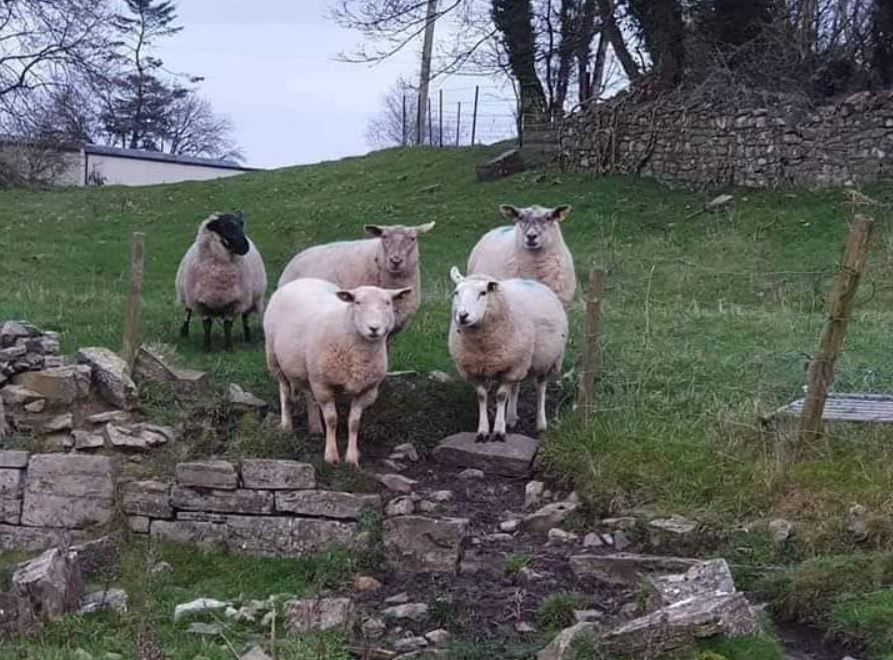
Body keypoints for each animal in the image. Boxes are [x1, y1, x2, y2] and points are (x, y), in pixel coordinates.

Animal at [175, 212, 267, 351]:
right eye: (224, 226)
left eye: (241, 224)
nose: (245, 247)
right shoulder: (202, 301)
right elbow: (207, 324)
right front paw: (207, 347)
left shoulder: (234, 301)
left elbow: (227, 325)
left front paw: (228, 347)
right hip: (186, 294)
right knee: (187, 313)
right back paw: (184, 333)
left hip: (250, 298)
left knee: (245, 317)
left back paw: (247, 337)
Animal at [264, 277, 411, 465]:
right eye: (357, 302)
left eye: (388, 303)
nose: (374, 328)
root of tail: (303, 279)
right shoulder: (324, 384)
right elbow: (332, 420)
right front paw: (331, 456)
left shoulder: (367, 389)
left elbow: (354, 423)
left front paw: (352, 458)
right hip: (274, 358)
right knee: (284, 391)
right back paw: (286, 425)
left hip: (309, 370)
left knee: (309, 395)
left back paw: (315, 428)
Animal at [447, 267, 568, 443]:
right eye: (456, 292)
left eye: (483, 293)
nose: (462, 316)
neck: (483, 348)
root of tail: (529, 280)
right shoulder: (474, 370)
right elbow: (482, 396)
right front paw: (483, 431)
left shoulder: (511, 367)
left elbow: (501, 396)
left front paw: (498, 431)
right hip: (521, 361)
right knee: (515, 388)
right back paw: (510, 418)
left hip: (546, 360)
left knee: (541, 389)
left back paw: (540, 424)